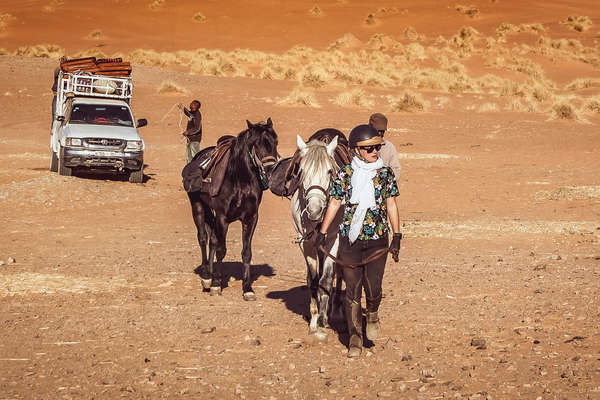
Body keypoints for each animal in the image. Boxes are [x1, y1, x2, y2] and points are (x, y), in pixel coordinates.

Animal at [186, 119, 278, 300]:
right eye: (257, 144)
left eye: (275, 142)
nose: (271, 170)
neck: (240, 180)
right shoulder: (223, 218)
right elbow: (221, 250)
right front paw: (216, 284)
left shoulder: (251, 218)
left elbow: (246, 252)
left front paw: (247, 288)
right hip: (197, 206)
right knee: (203, 238)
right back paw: (206, 277)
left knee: (213, 240)